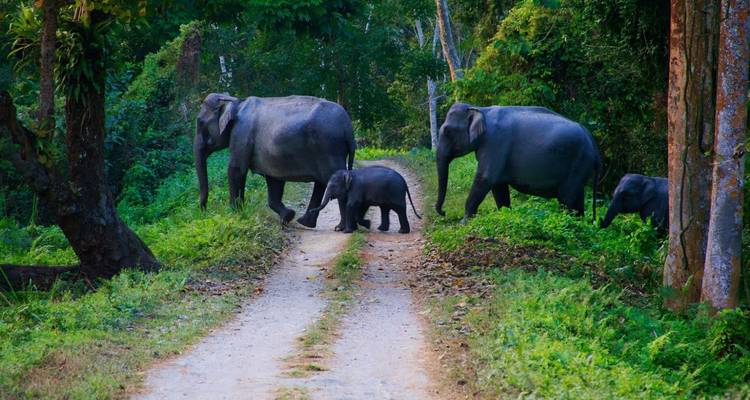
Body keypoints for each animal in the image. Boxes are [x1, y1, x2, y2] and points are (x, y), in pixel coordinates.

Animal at [194, 93, 355, 228]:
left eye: (199, 122)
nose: (203, 213)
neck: (236, 101)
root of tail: (348, 127)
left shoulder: (241, 134)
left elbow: (236, 169)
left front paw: (235, 215)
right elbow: (274, 180)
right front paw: (288, 216)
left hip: (328, 148)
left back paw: (342, 227)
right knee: (322, 183)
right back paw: (305, 223)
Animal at [435, 103, 602, 222]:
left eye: (447, 131)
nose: (443, 212)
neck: (481, 109)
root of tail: (593, 144)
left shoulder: (496, 143)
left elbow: (485, 178)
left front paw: (464, 223)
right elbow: (498, 187)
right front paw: (504, 216)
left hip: (578, 164)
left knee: (566, 200)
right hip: (581, 168)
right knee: (577, 200)